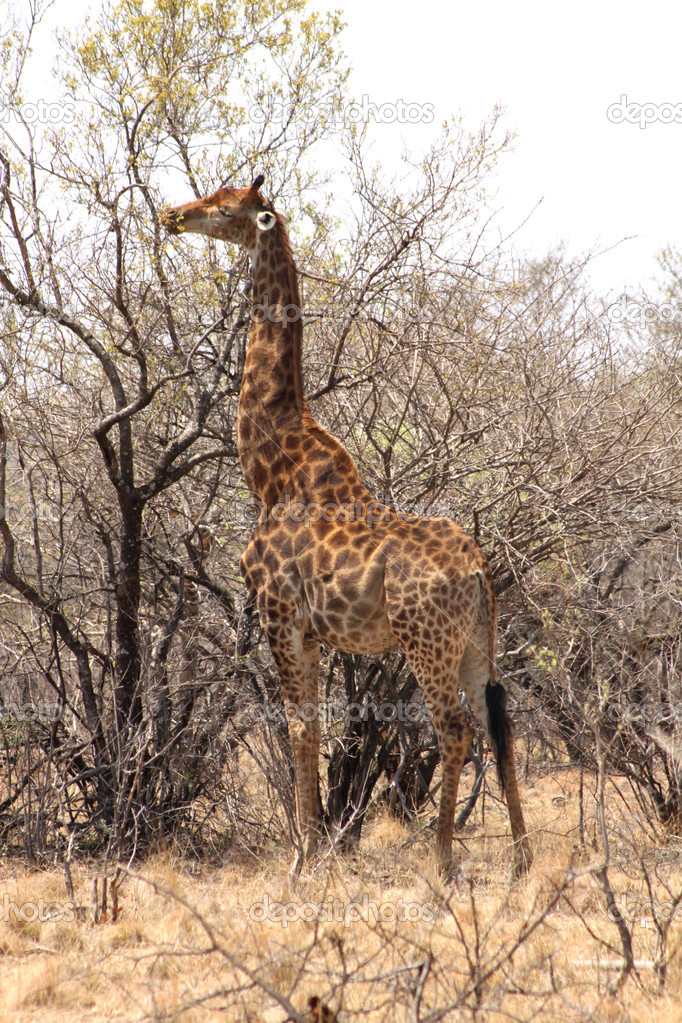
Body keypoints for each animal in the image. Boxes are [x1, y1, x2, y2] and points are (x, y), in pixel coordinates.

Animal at [165, 175, 531, 879]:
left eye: (225, 207)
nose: (173, 214)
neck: (269, 465)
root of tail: (478, 571)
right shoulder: (310, 629)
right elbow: (310, 727)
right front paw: (311, 850)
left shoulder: (279, 613)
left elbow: (299, 727)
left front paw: (302, 858)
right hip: (477, 642)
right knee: (499, 722)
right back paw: (524, 860)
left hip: (424, 641)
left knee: (453, 729)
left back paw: (443, 860)